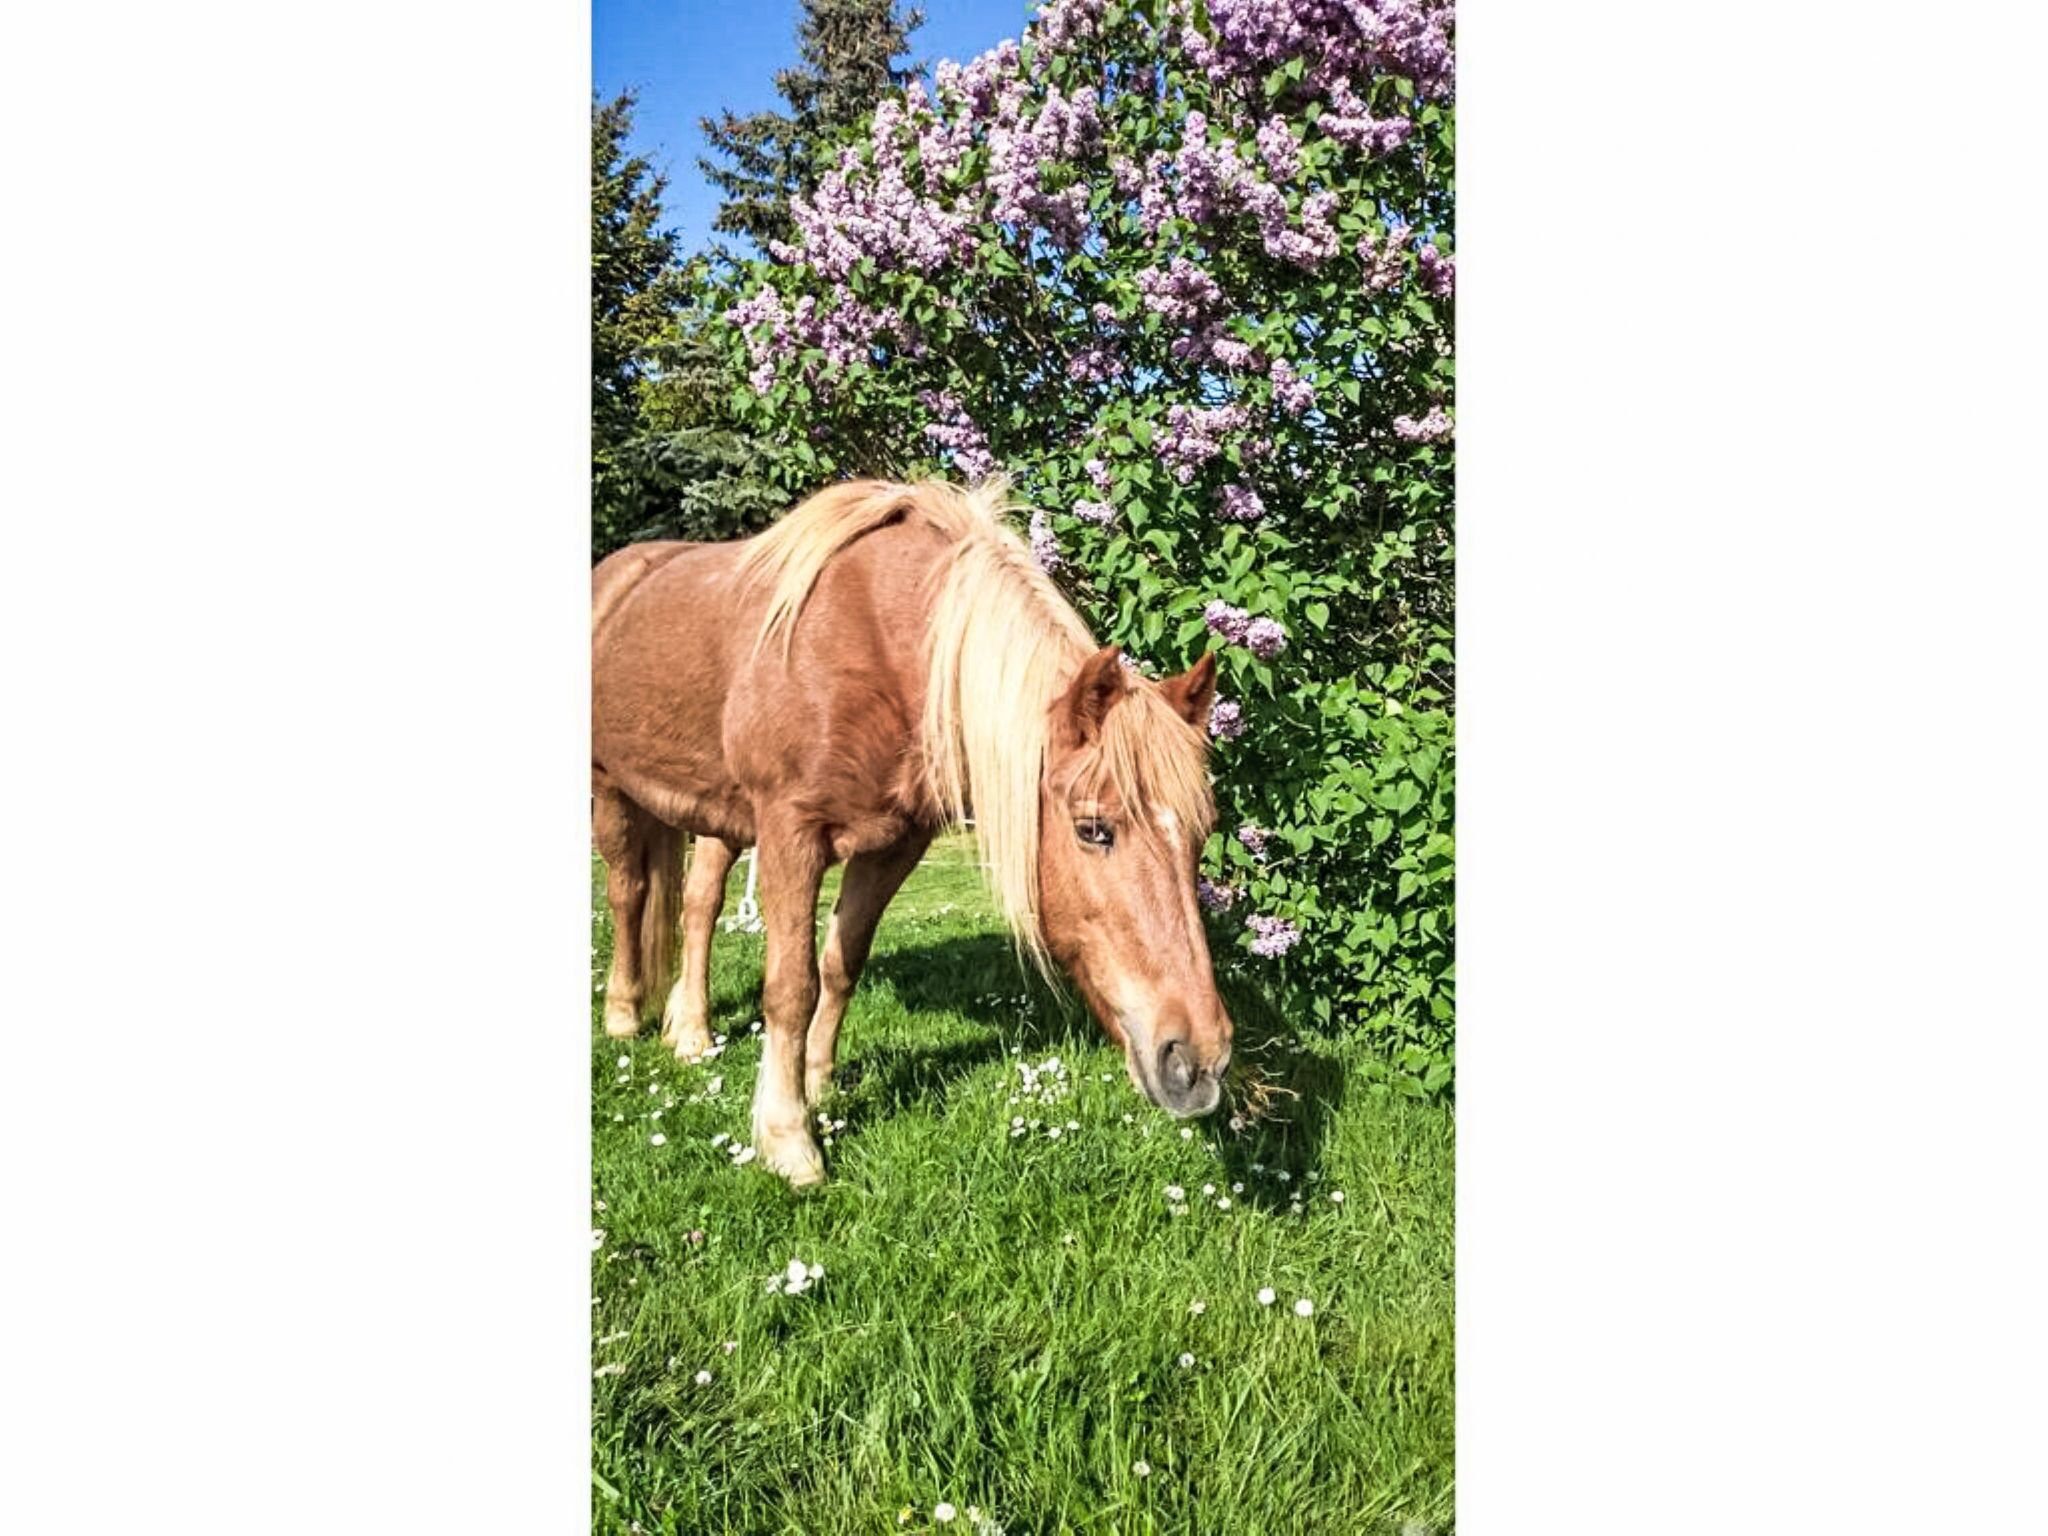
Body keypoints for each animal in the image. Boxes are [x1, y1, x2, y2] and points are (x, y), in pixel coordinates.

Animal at [591, 477, 1234, 1185]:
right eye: (1094, 829)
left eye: (1202, 834)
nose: (1198, 1061)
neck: (881, 646)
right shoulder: (792, 832)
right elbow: (790, 986)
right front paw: (788, 1138)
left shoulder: (895, 844)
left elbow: (840, 965)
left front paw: (817, 1084)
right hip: (610, 789)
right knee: (628, 893)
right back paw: (624, 1015)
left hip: (721, 818)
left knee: (700, 905)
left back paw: (691, 1033)